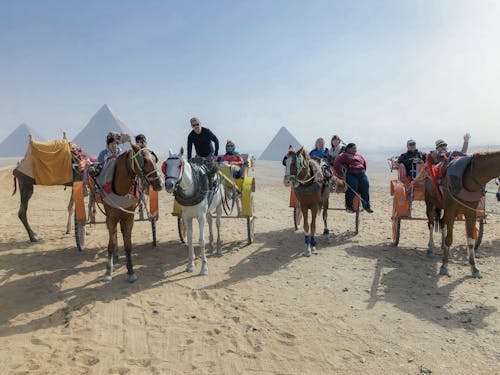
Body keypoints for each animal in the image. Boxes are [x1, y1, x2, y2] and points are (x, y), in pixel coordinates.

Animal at [100, 144, 163, 282]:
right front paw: (108, 271)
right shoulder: (111, 217)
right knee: (114, 235)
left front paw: (131, 271)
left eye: (155, 159)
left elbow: (128, 244)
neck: (121, 190)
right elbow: (111, 243)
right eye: (144, 160)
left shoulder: (129, 217)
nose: (159, 183)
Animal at [424, 151, 500, 280]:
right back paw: (431, 248)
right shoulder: (451, 211)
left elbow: (470, 241)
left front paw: (474, 269)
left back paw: (443, 248)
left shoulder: (471, 213)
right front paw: (444, 266)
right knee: (431, 224)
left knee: (442, 222)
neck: (469, 178)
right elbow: (449, 239)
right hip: (430, 204)